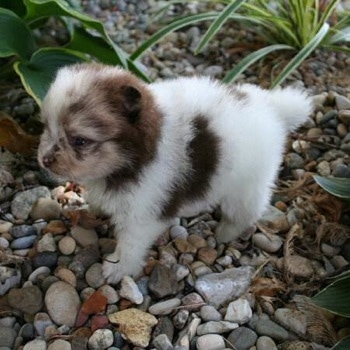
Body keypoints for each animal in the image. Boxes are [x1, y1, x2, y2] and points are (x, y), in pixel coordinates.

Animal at [37, 63, 314, 284]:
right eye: (46, 127)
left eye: (80, 141)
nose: (45, 160)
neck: (137, 156)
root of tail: (271, 108)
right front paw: (94, 207)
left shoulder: (143, 213)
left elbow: (131, 244)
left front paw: (118, 268)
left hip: (247, 184)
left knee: (246, 211)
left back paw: (226, 232)